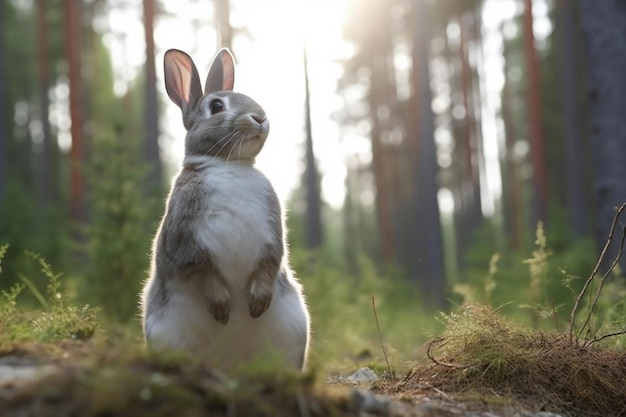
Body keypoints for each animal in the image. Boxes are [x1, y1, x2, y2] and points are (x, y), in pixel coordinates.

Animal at [140, 48, 308, 370]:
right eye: (216, 106)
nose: (261, 118)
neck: (228, 165)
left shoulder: (271, 234)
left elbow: (271, 260)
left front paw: (257, 302)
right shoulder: (185, 237)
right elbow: (200, 268)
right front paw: (222, 306)